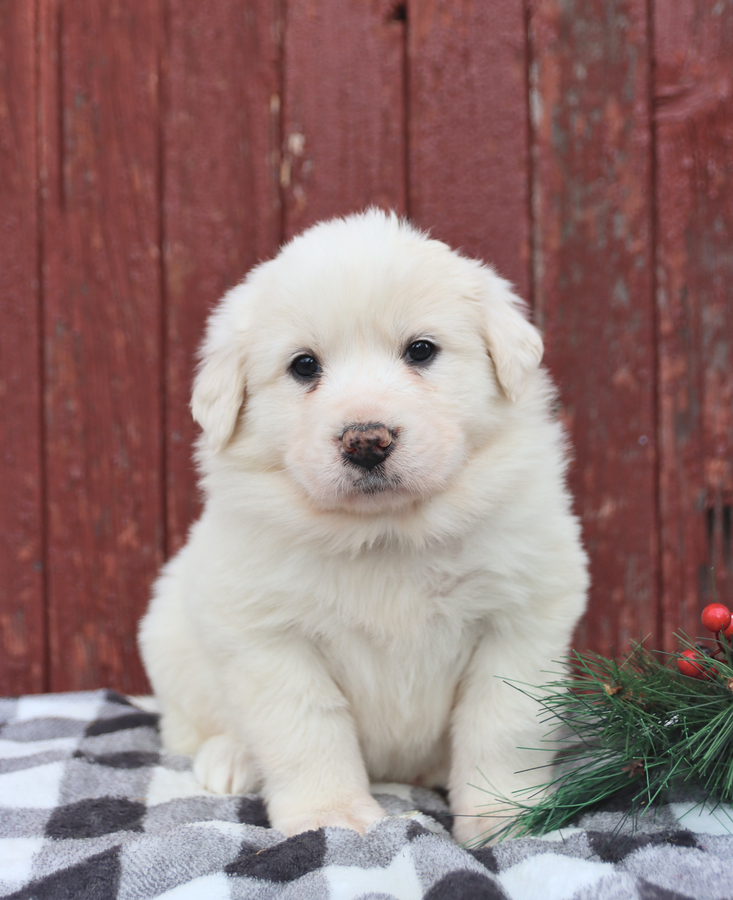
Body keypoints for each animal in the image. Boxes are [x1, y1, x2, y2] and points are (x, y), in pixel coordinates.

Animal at [139, 209, 588, 844]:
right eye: (304, 365)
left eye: (421, 351)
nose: (366, 441)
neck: (386, 533)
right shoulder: (269, 637)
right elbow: (307, 728)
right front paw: (333, 817)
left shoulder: (520, 620)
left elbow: (501, 725)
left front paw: (503, 815)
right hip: (171, 637)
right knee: (191, 727)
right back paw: (230, 759)